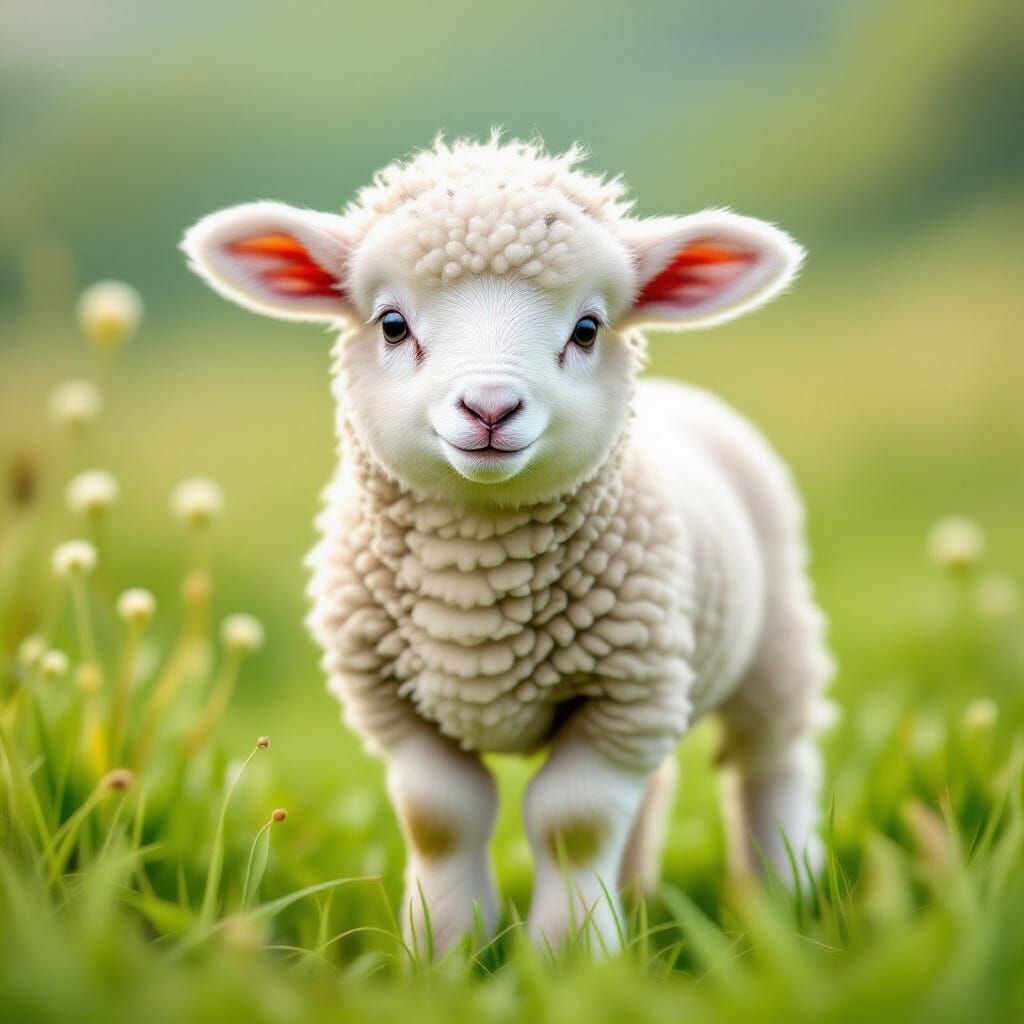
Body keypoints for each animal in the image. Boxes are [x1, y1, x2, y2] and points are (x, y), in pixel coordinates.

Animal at [182, 135, 834, 955]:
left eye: (587, 330)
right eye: (391, 324)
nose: (489, 408)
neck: (474, 582)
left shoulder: (625, 694)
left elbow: (571, 820)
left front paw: (572, 954)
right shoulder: (394, 704)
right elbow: (442, 814)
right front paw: (445, 947)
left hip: (773, 644)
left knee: (771, 763)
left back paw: (780, 900)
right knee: (656, 786)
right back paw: (639, 897)